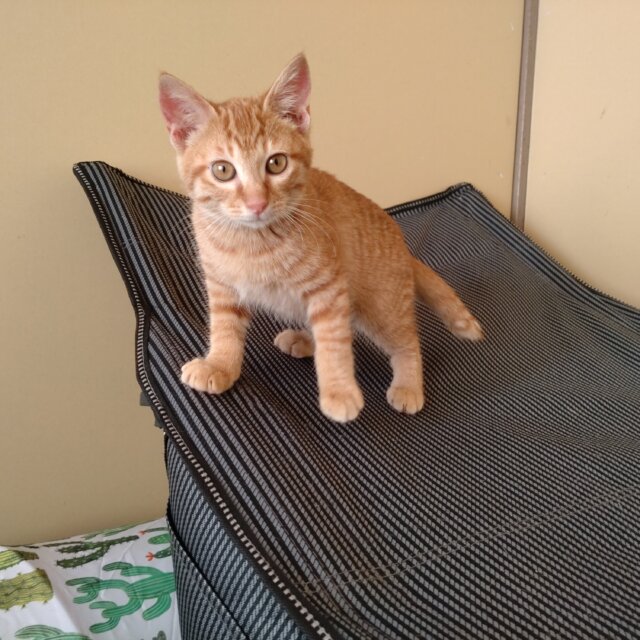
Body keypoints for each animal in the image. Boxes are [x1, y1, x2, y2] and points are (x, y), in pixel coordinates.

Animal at [158, 53, 483, 423]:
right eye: (222, 170)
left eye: (276, 163)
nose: (257, 203)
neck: (252, 243)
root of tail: (403, 247)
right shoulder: (222, 286)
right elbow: (224, 328)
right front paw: (221, 365)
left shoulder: (328, 288)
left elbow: (334, 341)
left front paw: (339, 391)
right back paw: (303, 340)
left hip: (381, 308)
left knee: (405, 340)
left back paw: (408, 385)